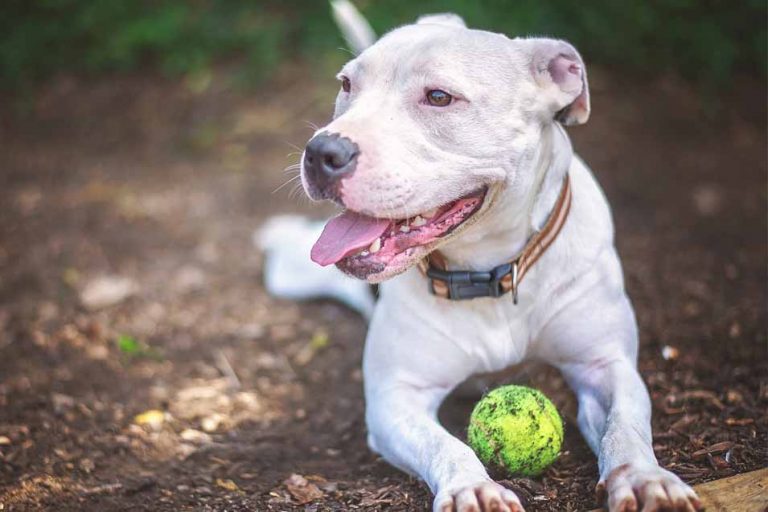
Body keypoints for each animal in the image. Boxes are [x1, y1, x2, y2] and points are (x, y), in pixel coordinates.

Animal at [258, 5, 704, 512]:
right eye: (347, 84)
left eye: (438, 97)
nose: (321, 151)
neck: (487, 272)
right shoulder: (396, 398)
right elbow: (445, 444)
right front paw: (473, 486)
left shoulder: (604, 366)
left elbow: (625, 426)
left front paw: (647, 479)